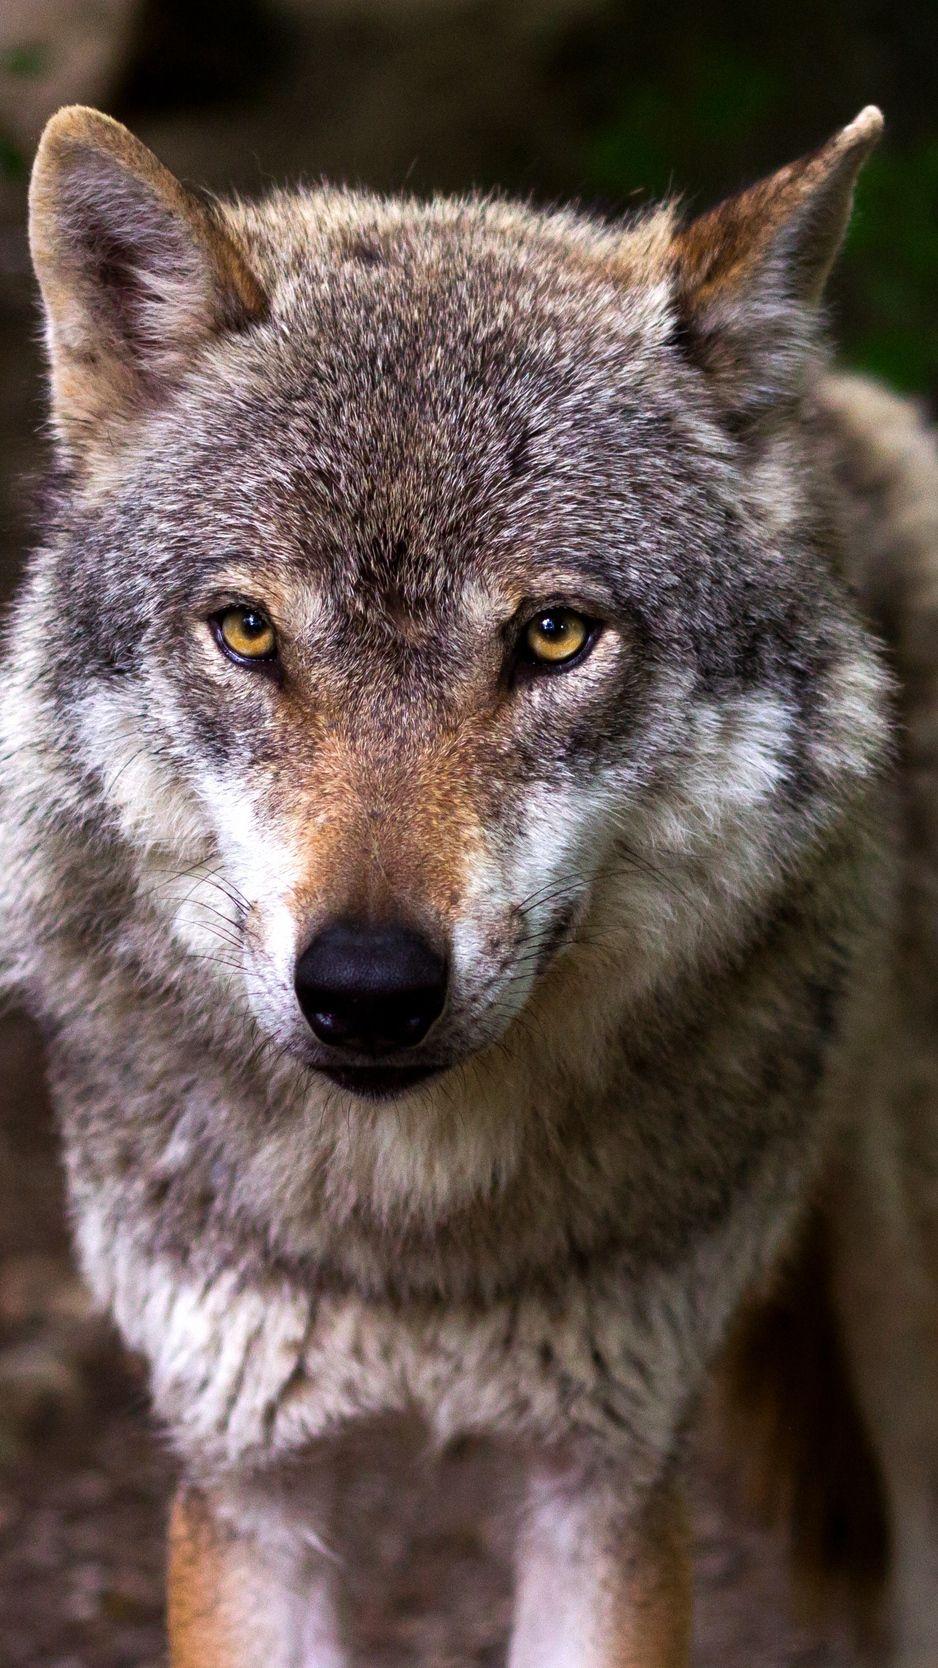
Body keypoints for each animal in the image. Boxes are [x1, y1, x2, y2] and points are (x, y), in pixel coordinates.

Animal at [2, 98, 938, 1665]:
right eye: (247, 632)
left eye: (553, 635)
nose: (368, 989)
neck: (412, 1234)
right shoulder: (246, 1480)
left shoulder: (603, 1477)